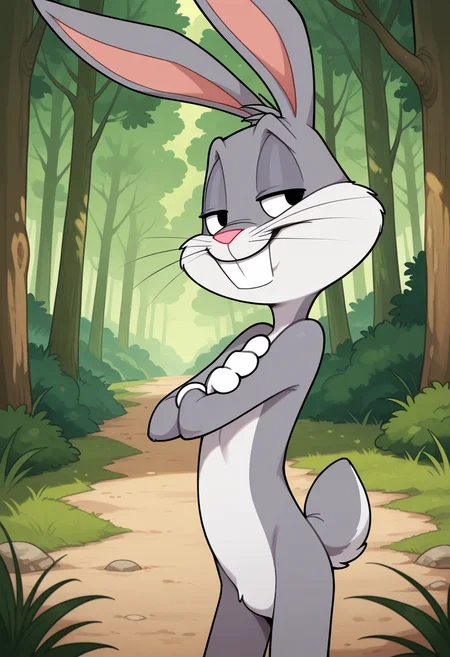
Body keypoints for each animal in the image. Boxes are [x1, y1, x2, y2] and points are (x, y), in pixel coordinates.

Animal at [33, 1, 384, 655]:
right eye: (214, 214)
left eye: (283, 196)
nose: (225, 237)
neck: (278, 320)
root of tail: (322, 551)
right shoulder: (244, 335)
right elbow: (172, 411)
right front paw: (185, 402)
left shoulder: (307, 341)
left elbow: (212, 402)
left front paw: (204, 401)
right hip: (236, 606)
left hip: (300, 585)